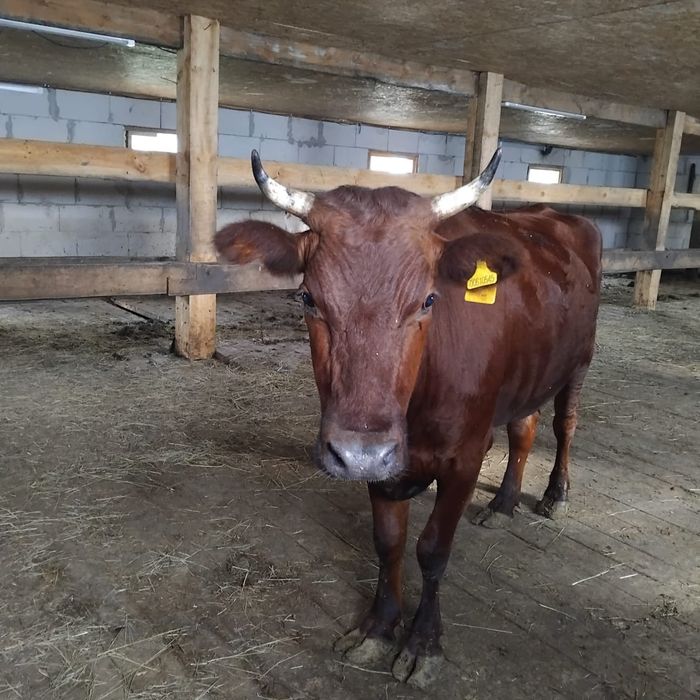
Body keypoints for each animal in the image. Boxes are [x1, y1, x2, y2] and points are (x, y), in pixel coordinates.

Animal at [214, 149, 601, 688]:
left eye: (429, 300)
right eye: (308, 298)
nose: (357, 453)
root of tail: (550, 214)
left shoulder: (464, 456)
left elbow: (433, 550)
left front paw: (423, 643)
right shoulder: (383, 460)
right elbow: (389, 543)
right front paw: (379, 627)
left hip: (579, 361)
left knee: (566, 423)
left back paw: (556, 494)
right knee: (524, 429)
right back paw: (503, 503)